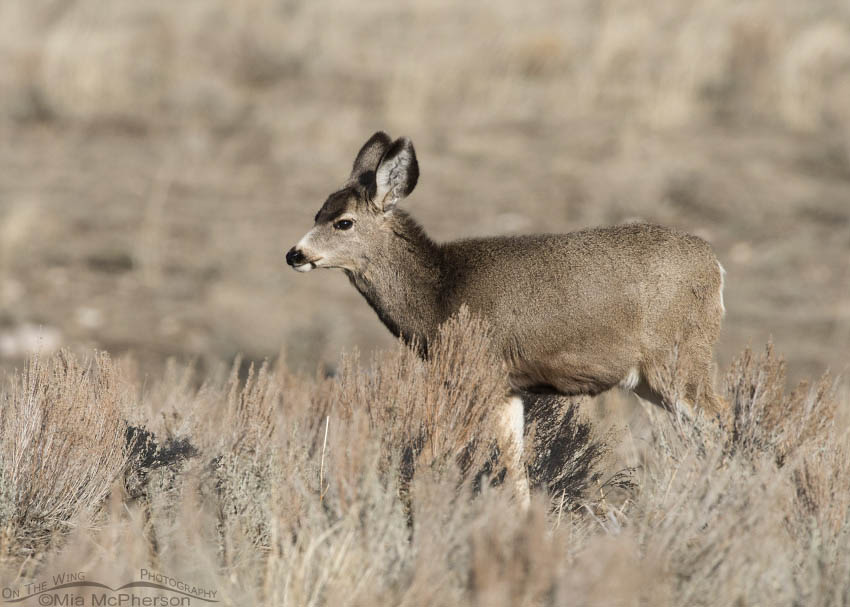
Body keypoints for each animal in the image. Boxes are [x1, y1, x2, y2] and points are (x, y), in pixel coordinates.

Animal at [286, 133, 724, 508]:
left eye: (343, 221)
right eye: (317, 213)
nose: (294, 254)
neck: (438, 294)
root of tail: (715, 267)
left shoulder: (479, 372)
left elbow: (436, 455)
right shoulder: (509, 387)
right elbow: (515, 460)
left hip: (681, 360)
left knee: (720, 419)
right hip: (651, 379)